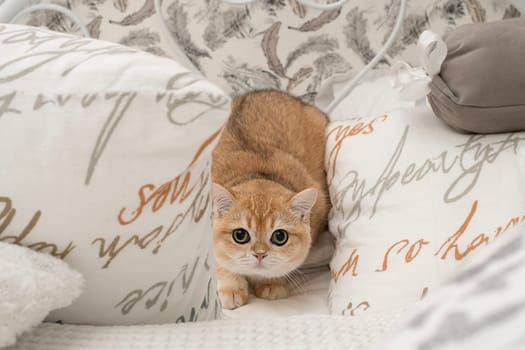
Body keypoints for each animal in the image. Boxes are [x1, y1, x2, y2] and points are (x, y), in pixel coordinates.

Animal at [209, 89, 328, 308]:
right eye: (240, 235)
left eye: (280, 237)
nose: (260, 254)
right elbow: (222, 263)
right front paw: (231, 288)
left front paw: (272, 283)